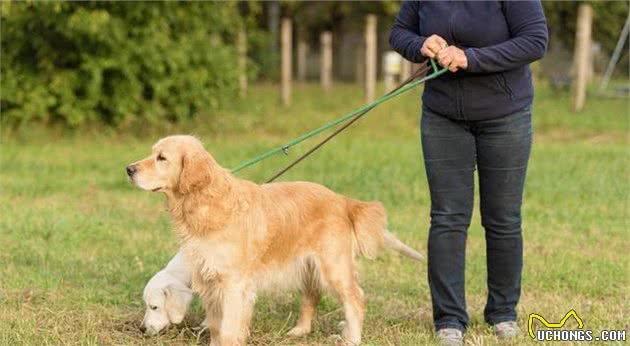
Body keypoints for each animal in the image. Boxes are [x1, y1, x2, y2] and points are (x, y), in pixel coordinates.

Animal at [127, 136, 424, 346]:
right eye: (152, 153)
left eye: (162, 158)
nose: (129, 169)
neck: (205, 203)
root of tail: (341, 200)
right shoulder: (210, 280)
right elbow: (216, 326)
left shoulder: (232, 284)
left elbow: (227, 329)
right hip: (306, 265)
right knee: (312, 296)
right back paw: (300, 331)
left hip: (332, 266)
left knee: (355, 299)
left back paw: (351, 337)